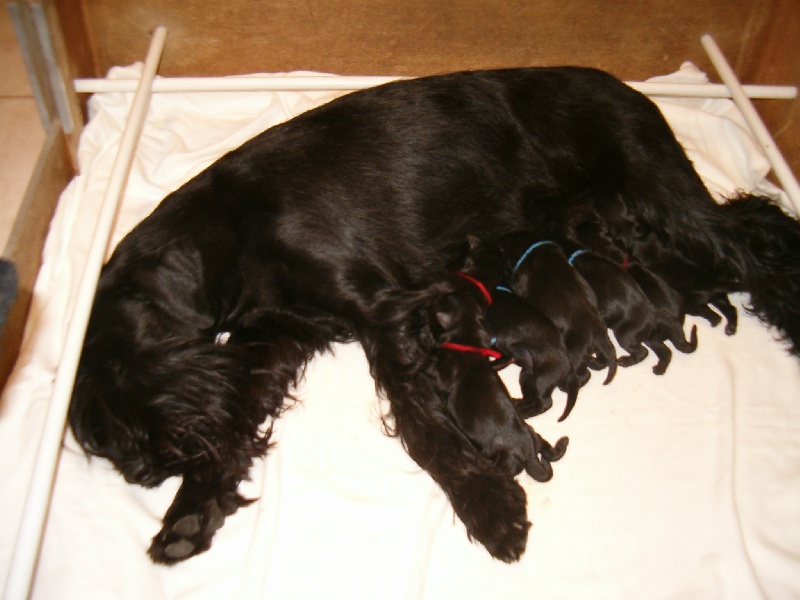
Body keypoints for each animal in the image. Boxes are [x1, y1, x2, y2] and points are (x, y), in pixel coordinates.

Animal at [500, 232, 620, 420]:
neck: (533, 245)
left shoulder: (519, 283)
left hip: (572, 355)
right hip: (600, 346)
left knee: (577, 378)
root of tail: (596, 331)